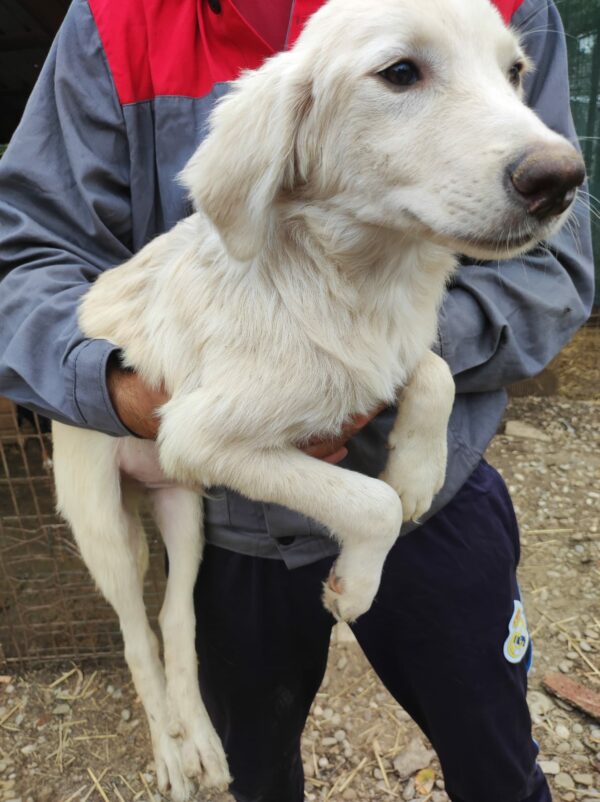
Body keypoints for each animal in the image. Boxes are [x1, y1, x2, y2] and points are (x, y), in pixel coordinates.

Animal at [54, 0, 584, 792]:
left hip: (184, 509)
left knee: (177, 620)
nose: (562, 178)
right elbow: (370, 502)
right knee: (134, 634)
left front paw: (419, 471)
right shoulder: (200, 434)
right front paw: (355, 585)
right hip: (104, 518)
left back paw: (204, 743)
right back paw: (172, 757)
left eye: (516, 71)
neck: (355, 281)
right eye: (400, 72)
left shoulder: (381, 355)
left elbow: (431, 371)